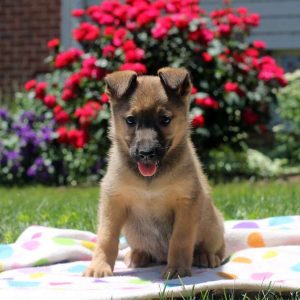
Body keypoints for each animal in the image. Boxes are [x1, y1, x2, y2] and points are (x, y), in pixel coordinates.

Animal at [84, 68, 225, 278]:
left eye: (165, 120)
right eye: (130, 120)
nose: (146, 153)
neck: (149, 182)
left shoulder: (186, 203)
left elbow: (180, 240)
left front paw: (177, 269)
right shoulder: (113, 201)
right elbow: (106, 238)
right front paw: (100, 267)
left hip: (213, 226)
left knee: (217, 249)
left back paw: (205, 256)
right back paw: (138, 255)